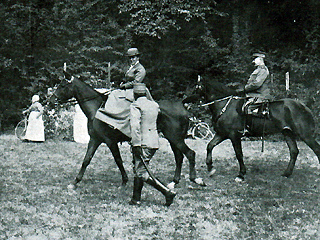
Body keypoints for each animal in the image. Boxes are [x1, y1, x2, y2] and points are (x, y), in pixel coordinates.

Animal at [50, 75, 205, 189]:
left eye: (62, 86)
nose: (50, 101)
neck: (97, 109)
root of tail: (181, 104)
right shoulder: (95, 139)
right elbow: (86, 160)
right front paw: (75, 182)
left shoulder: (110, 141)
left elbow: (118, 160)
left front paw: (124, 180)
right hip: (173, 139)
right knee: (179, 157)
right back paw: (174, 181)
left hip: (176, 138)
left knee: (190, 153)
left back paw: (195, 179)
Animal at [186, 79, 320, 181]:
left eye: (197, 88)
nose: (185, 102)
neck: (225, 106)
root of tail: (303, 107)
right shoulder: (222, 134)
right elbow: (210, 146)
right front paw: (210, 168)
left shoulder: (234, 136)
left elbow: (239, 154)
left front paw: (241, 174)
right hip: (287, 133)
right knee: (294, 151)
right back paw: (286, 173)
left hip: (305, 135)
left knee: (316, 149)